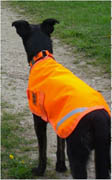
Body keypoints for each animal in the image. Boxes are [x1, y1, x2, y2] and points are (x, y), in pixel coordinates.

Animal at [12, 18, 110, 179]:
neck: (42, 57)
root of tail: (99, 118)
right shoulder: (61, 121)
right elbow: (60, 144)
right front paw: (61, 166)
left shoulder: (39, 118)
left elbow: (43, 150)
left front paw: (40, 170)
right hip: (103, 154)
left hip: (77, 153)